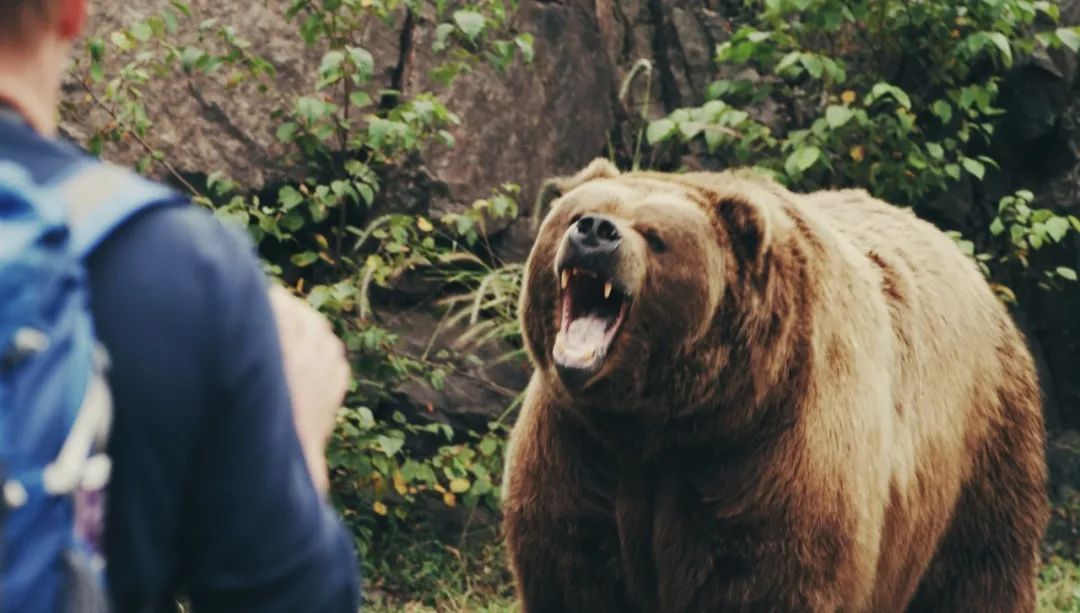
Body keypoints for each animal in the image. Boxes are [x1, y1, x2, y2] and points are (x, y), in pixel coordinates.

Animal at [501, 160, 1049, 608]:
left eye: (655, 235)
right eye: (578, 213)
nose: (596, 231)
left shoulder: (773, 450)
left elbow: (765, 576)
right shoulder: (580, 445)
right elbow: (573, 566)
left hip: (980, 449)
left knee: (980, 570)